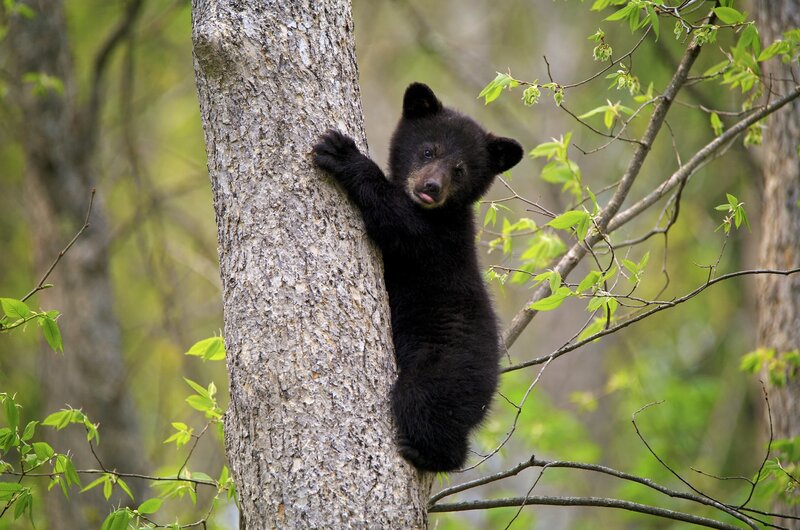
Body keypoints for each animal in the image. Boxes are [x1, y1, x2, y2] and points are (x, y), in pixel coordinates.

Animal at [312, 82, 523, 472]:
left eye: (460, 170)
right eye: (427, 150)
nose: (432, 187)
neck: (440, 212)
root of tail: (488, 391)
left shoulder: (438, 241)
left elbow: (397, 220)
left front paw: (343, 154)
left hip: (442, 370)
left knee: (422, 405)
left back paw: (426, 453)